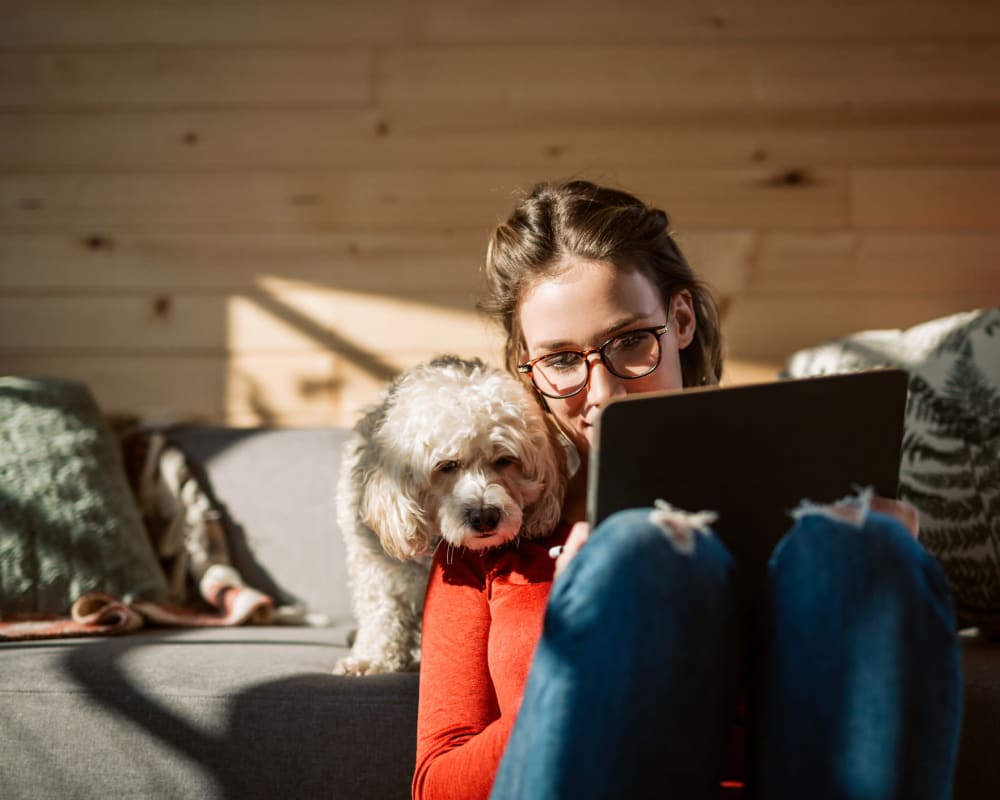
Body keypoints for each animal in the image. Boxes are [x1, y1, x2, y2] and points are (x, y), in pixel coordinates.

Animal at [334, 356, 568, 676]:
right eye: (447, 465)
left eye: (505, 460)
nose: (485, 516)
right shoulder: (376, 565)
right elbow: (381, 611)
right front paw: (372, 658)